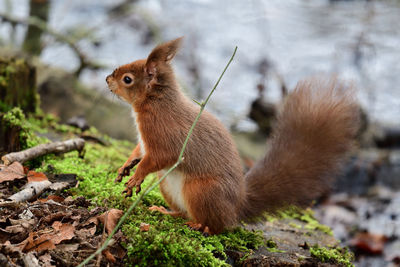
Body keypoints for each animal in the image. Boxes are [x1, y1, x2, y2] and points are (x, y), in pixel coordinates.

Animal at [104, 37, 358, 234]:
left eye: (127, 79)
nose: (107, 79)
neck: (156, 104)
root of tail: (236, 208)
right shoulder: (144, 141)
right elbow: (139, 151)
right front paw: (126, 167)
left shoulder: (165, 136)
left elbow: (158, 159)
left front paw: (136, 176)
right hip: (168, 184)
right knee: (183, 212)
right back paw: (165, 212)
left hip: (201, 191)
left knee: (217, 225)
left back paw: (201, 226)